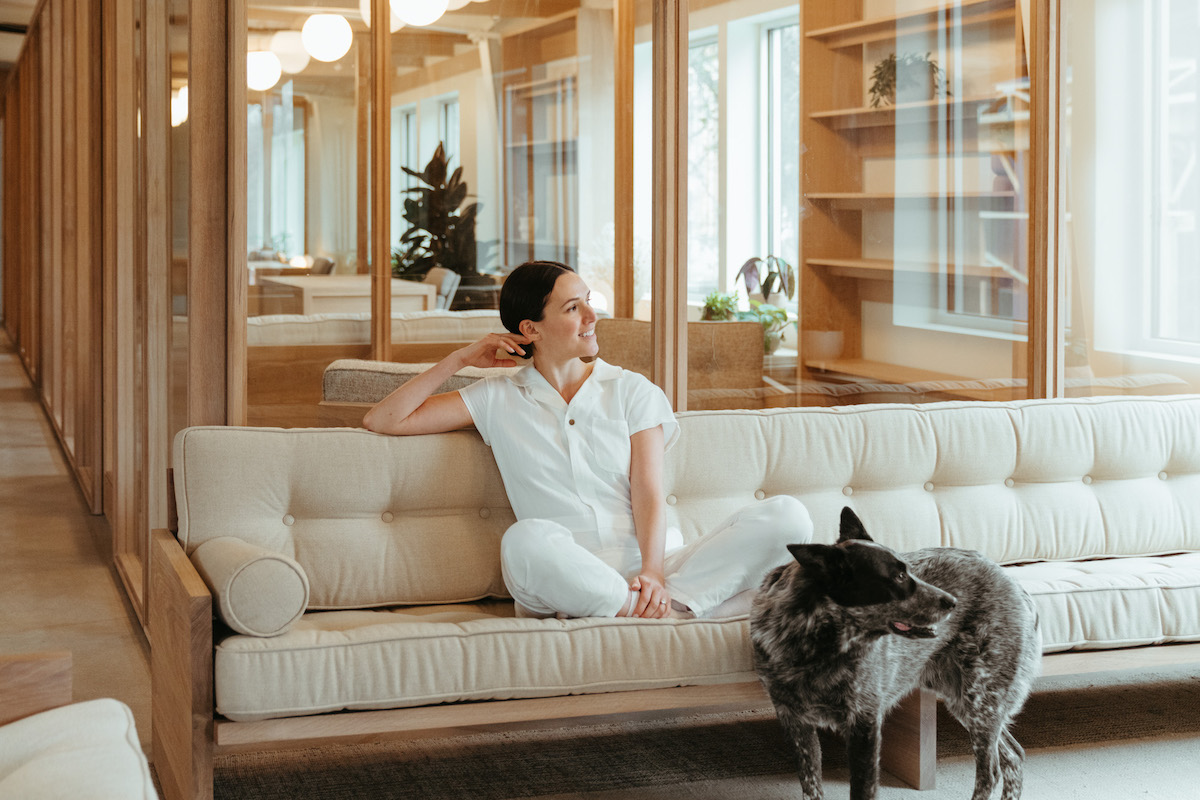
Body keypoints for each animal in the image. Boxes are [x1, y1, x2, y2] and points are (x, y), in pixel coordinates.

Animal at [748, 506, 1041, 800]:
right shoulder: (795, 721)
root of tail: (1014, 583)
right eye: (898, 577)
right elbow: (811, 786)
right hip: (965, 702)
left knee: (990, 773)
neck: (815, 648)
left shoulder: (864, 720)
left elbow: (862, 789)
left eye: (909, 570)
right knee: (1014, 756)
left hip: (982, 700)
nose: (953, 602)